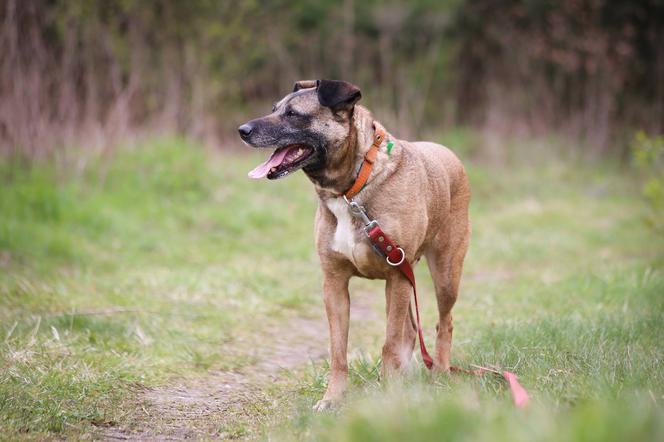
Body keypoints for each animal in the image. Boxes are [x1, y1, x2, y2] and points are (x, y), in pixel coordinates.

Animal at [239, 79, 472, 410]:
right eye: (274, 108)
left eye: (293, 114)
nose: (242, 130)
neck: (352, 187)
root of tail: (448, 153)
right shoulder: (335, 284)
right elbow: (338, 351)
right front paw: (332, 399)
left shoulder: (396, 278)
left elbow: (389, 344)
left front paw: (389, 397)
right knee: (411, 330)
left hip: (445, 273)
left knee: (444, 322)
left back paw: (439, 373)